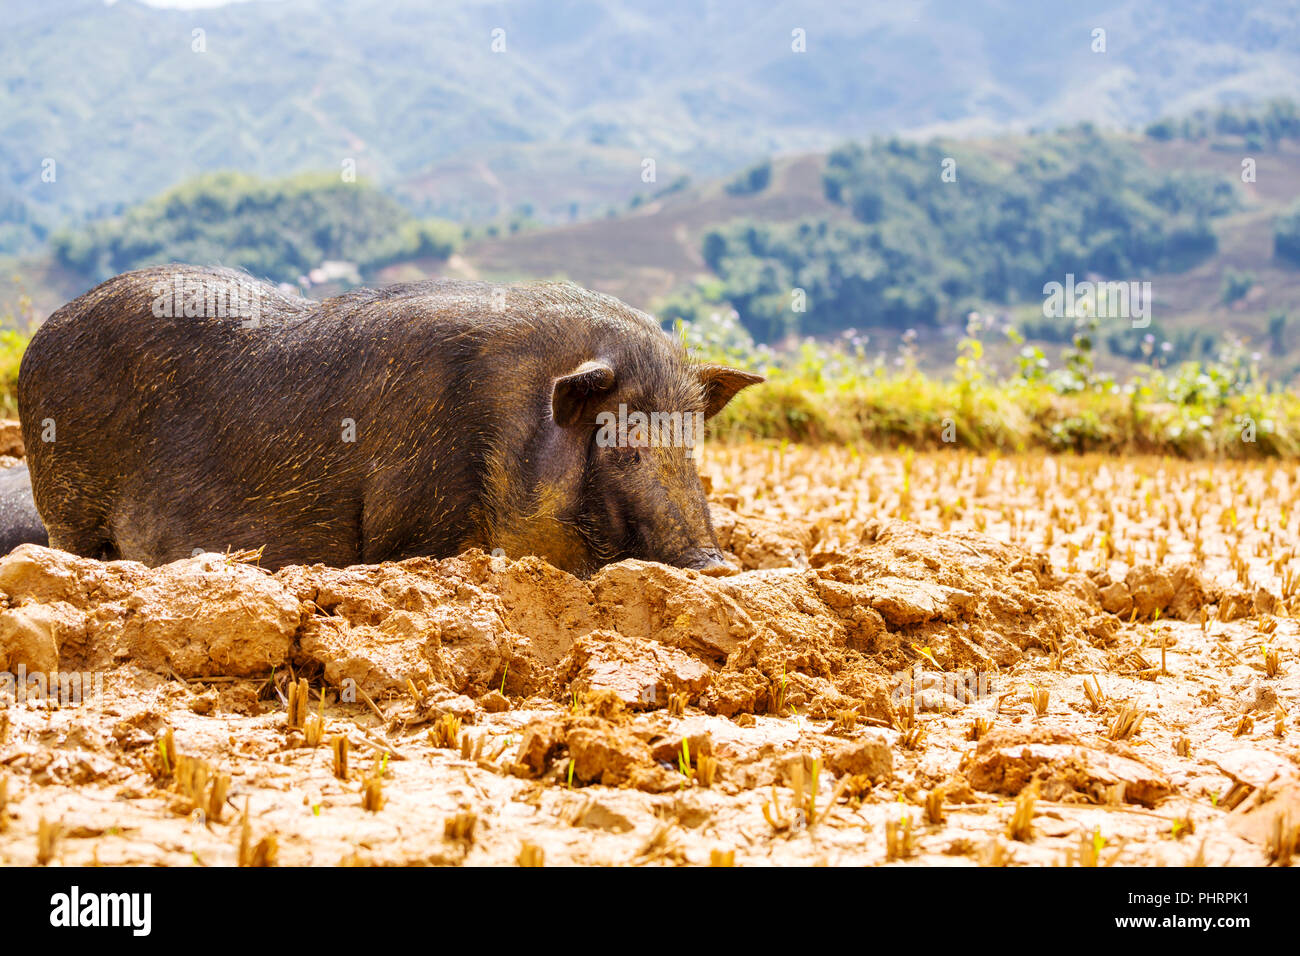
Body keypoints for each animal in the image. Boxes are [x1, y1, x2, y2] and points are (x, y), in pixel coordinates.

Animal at [19, 266, 762, 576]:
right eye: (623, 448)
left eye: (691, 450)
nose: (716, 563)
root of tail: (38, 336)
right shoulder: (411, 523)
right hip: (69, 507)